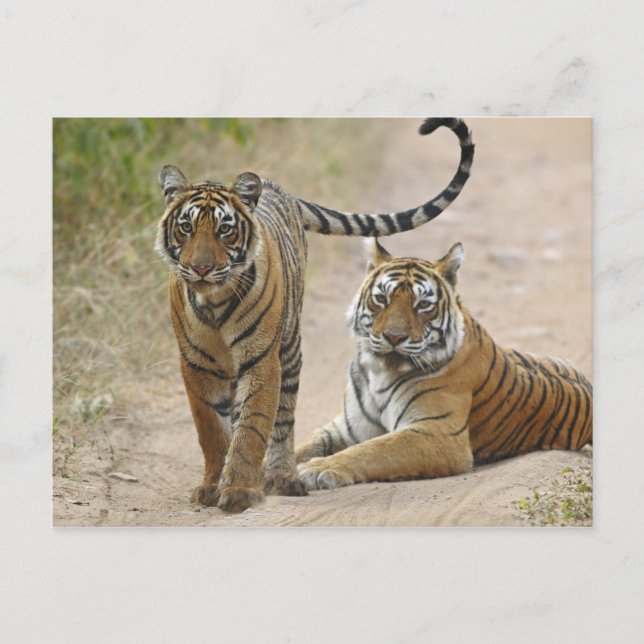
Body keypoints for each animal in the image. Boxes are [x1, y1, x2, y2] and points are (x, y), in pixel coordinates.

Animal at [155, 118, 475, 513]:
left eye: (224, 230)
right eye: (185, 227)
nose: (200, 269)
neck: (214, 300)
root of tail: (281, 190)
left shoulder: (261, 360)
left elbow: (251, 427)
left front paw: (240, 491)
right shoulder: (195, 364)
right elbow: (211, 430)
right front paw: (212, 487)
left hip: (289, 347)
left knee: (283, 418)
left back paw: (281, 477)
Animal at [295, 239, 592, 490]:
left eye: (423, 304)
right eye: (381, 299)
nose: (394, 337)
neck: (380, 372)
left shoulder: (438, 433)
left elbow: (372, 450)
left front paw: (315, 469)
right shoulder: (346, 428)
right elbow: (301, 445)